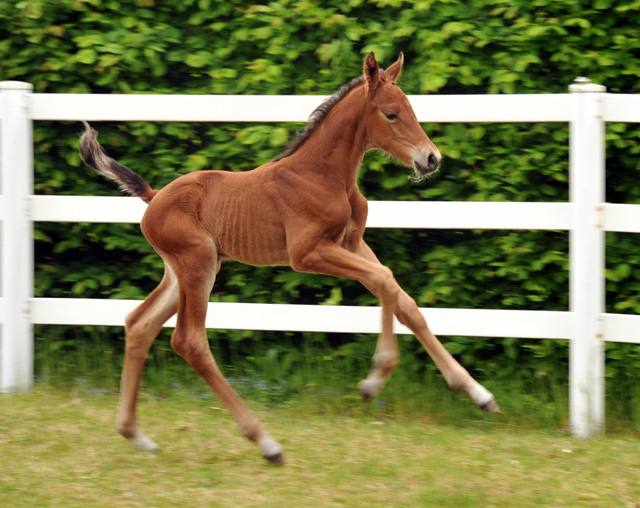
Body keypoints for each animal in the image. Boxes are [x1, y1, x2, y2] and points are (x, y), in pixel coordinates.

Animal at [80, 52, 500, 464]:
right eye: (391, 114)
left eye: (412, 109)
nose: (431, 159)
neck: (324, 174)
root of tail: (153, 197)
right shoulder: (307, 253)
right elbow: (383, 280)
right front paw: (374, 380)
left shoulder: (351, 242)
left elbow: (401, 296)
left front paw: (478, 393)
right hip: (197, 264)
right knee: (189, 340)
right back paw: (266, 443)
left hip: (185, 270)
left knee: (139, 324)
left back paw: (137, 435)